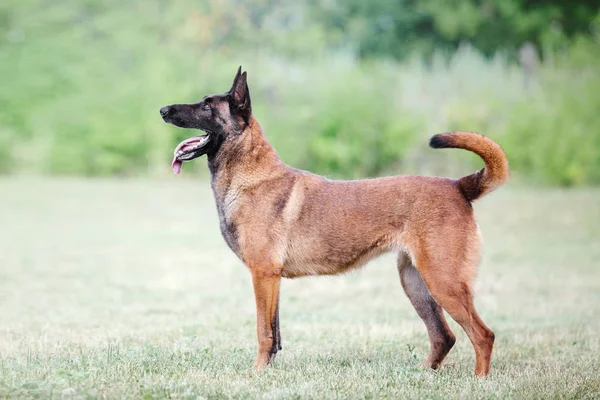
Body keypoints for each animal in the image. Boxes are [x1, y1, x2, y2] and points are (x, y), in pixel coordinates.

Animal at [158, 65, 506, 376]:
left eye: (206, 105)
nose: (163, 109)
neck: (250, 176)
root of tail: (459, 186)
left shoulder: (263, 275)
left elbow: (263, 332)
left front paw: (256, 373)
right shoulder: (272, 280)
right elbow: (276, 334)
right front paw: (268, 371)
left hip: (443, 282)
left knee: (482, 335)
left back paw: (479, 380)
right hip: (416, 283)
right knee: (444, 336)